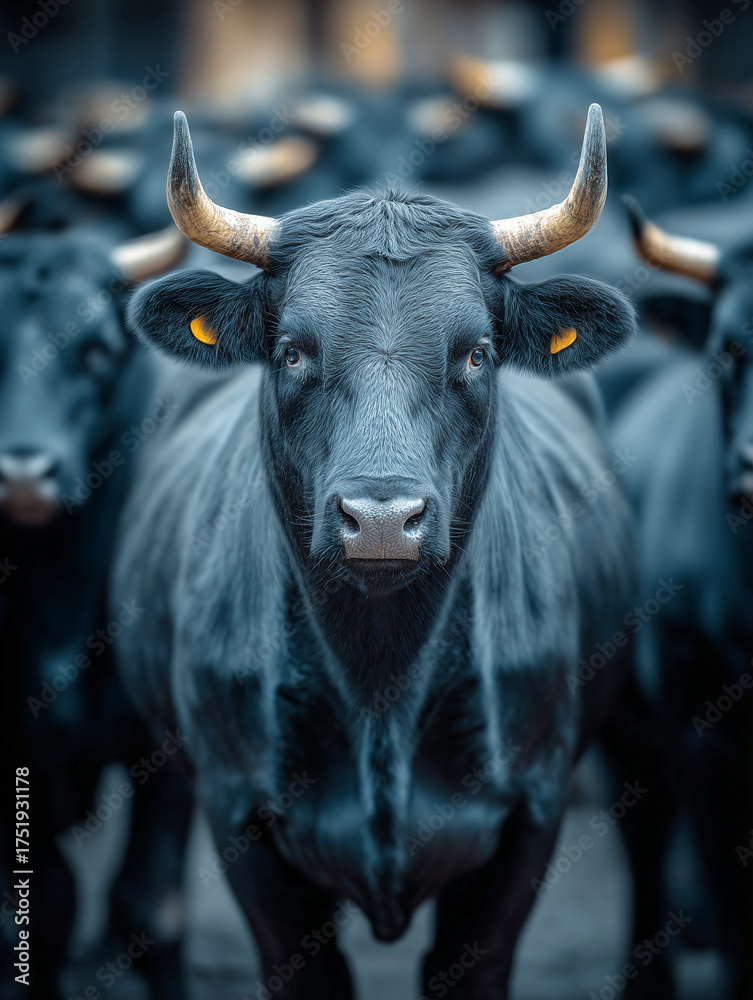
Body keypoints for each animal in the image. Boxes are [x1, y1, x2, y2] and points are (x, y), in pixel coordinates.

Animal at [112, 104, 639, 999]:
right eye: (292, 349)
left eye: (475, 352)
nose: (384, 518)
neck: (379, 678)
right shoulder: (240, 817)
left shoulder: (528, 814)